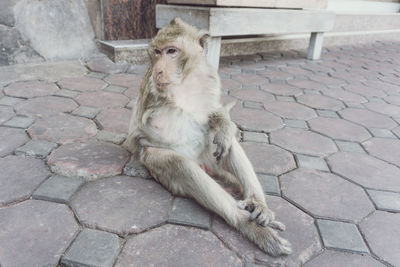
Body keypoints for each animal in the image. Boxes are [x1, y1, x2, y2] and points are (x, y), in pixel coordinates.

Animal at [126, 17, 292, 256]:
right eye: (157, 52)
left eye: (171, 51)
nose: (158, 71)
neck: (185, 81)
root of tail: (204, 165)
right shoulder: (149, 91)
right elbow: (138, 135)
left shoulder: (209, 77)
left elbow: (212, 114)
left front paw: (223, 124)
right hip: (168, 166)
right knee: (179, 164)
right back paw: (247, 223)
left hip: (210, 157)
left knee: (227, 144)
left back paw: (257, 204)